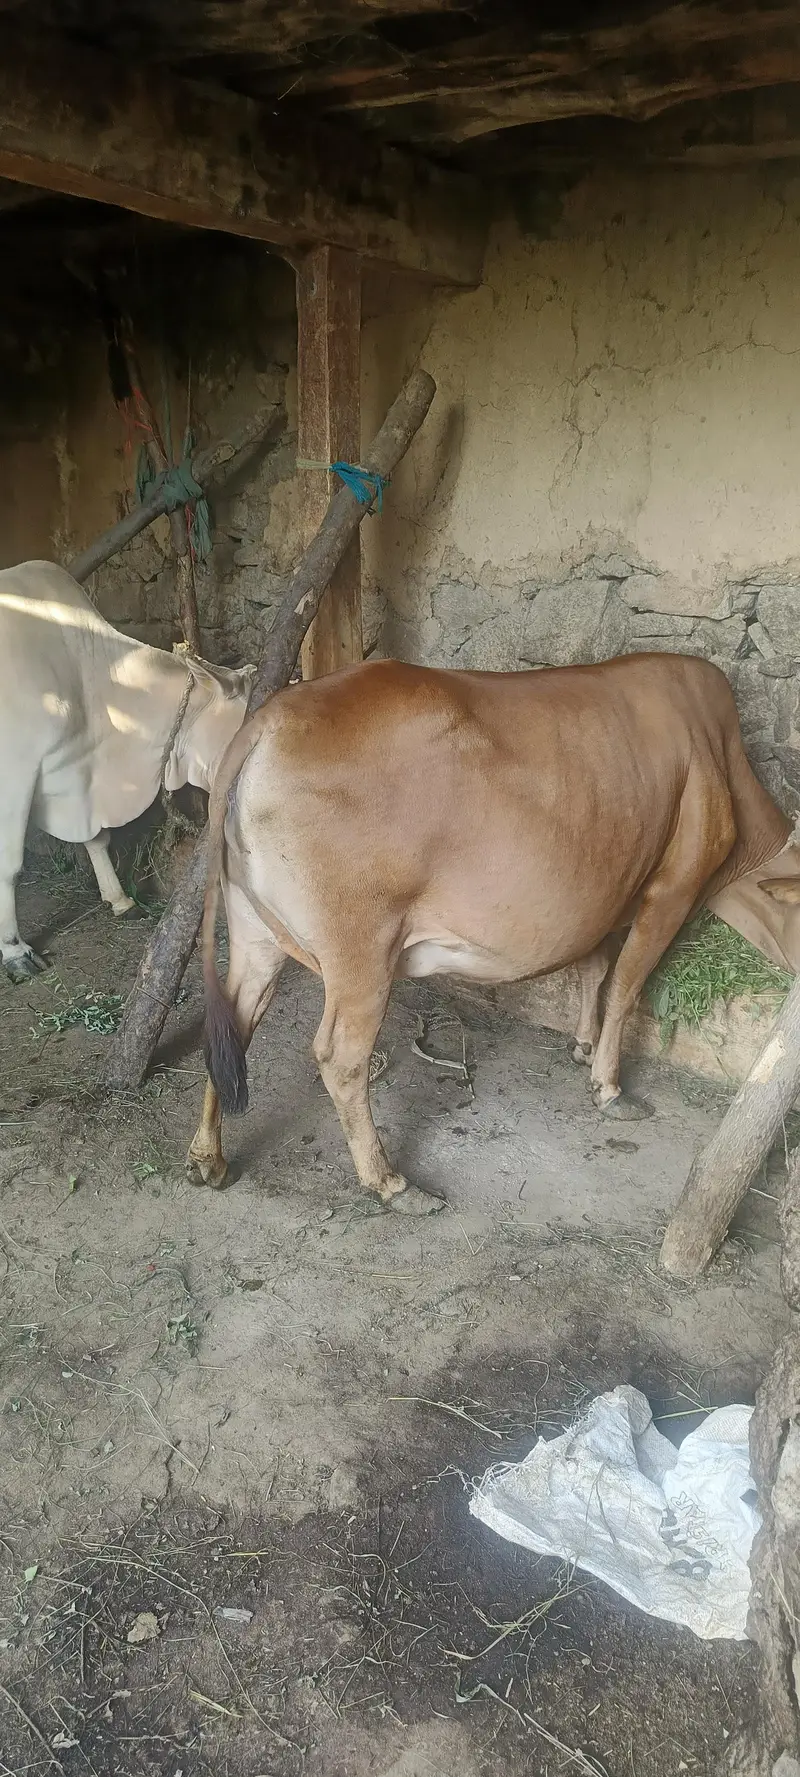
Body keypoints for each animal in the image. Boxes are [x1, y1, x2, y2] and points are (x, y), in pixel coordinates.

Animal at [186, 653, 800, 1213]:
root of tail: (271, 717)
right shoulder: (672, 888)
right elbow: (626, 986)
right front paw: (609, 1087)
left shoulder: (604, 891)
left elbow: (595, 967)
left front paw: (582, 1046)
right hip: (361, 950)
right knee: (340, 1057)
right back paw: (391, 1183)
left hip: (254, 933)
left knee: (231, 1025)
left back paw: (208, 1159)